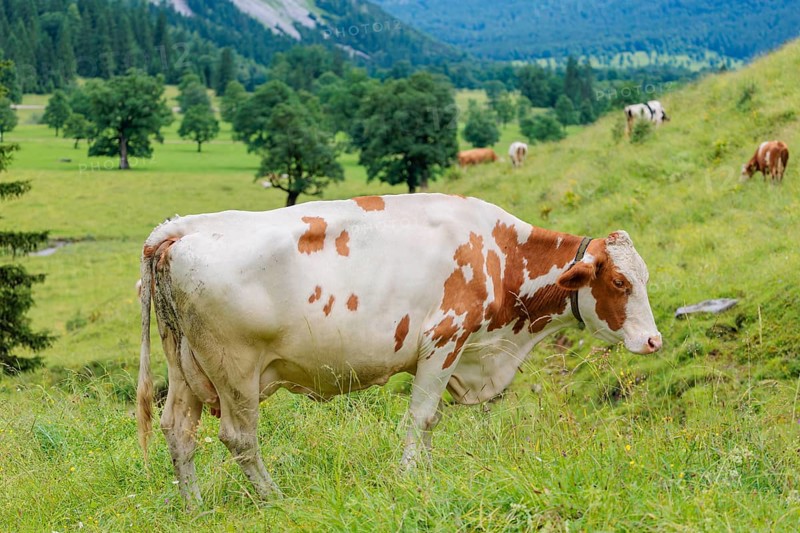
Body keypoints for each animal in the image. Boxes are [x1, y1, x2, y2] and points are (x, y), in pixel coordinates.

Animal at [137, 193, 662, 507]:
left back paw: (194, 506)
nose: (654, 340)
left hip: (184, 367)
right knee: (239, 438)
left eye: (645, 277)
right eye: (620, 282)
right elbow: (421, 417)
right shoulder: (444, 340)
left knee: (178, 430)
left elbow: (428, 422)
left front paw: (425, 472)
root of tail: (182, 227)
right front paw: (411, 478)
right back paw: (275, 498)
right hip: (235, 371)